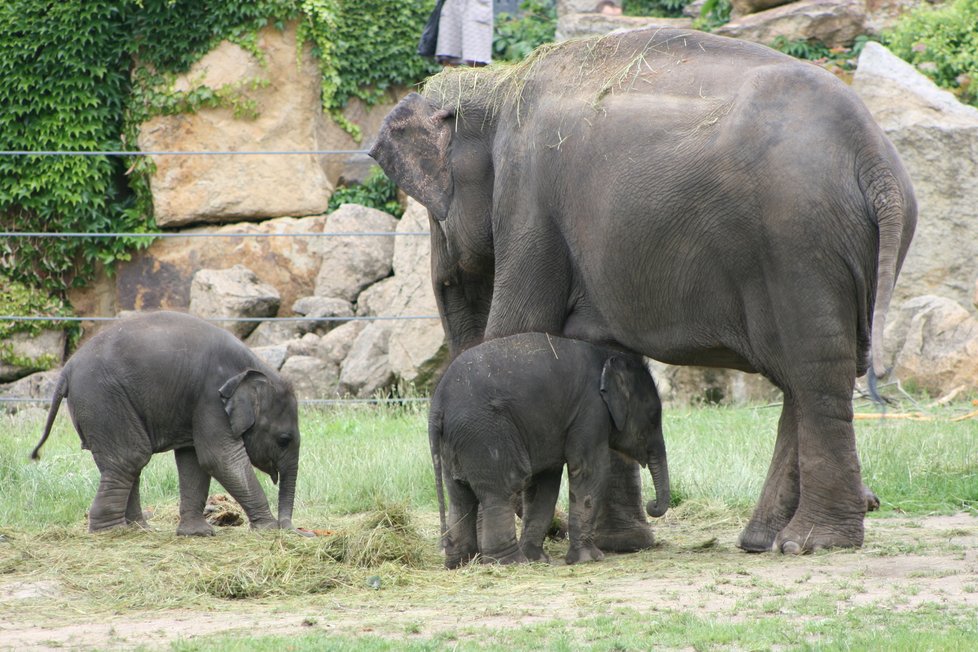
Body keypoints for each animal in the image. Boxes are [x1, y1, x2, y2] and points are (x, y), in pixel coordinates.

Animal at [31, 310, 298, 536]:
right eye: (283, 440)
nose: (292, 529)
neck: (254, 368)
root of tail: (66, 370)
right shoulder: (211, 398)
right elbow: (219, 459)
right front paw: (268, 529)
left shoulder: (197, 403)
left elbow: (194, 460)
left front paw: (197, 534)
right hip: (102, 398)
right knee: (130, 457)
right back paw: (112, 532)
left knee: (124, 463)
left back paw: (138, 529)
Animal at [426, 334, 664, 568]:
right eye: (653, 417)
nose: (652, 504)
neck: (607, 356)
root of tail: (437, 407)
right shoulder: (591, 411)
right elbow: (588, 470)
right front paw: (590, 559)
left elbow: (545, 482)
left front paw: (539, 559)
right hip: (484, 433)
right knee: (501, 490)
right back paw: (511, 563)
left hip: (455, 443)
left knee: (459, 496)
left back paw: (460, 563)